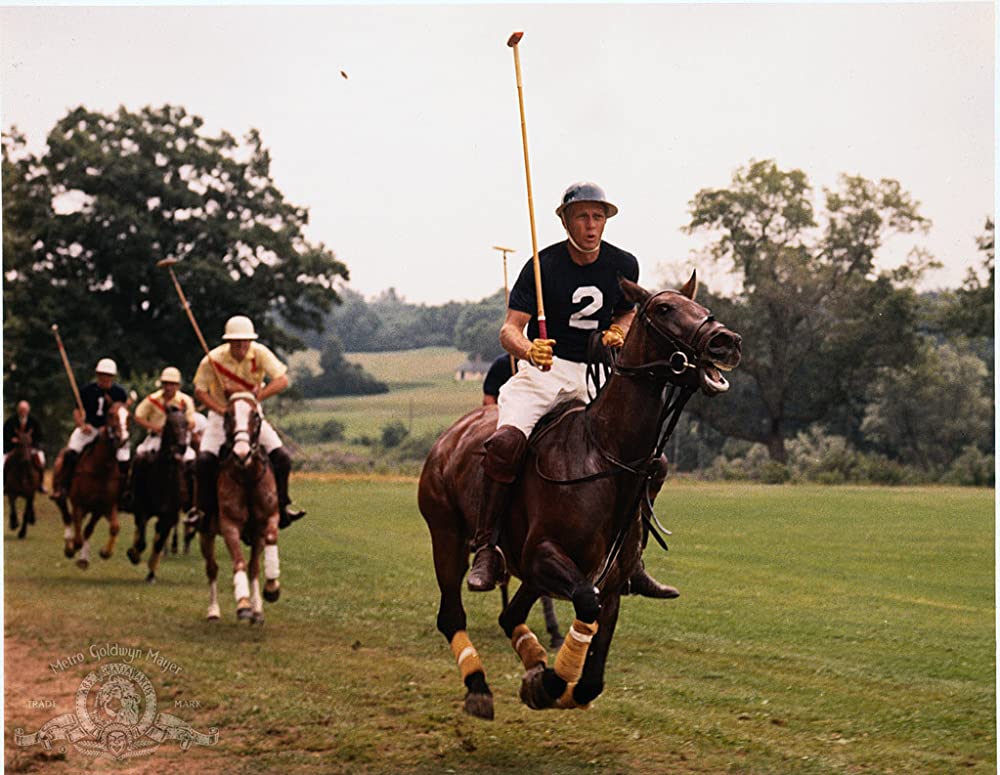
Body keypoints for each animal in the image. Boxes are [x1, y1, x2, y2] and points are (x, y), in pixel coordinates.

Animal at [55, 404, 131, 572]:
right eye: (111, 414)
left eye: (129, 416)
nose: (122, 439)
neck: (101, 468)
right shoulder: (78, 504)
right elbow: (78, 538)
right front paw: (72, 547)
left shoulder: (103, 507)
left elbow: (110, 527)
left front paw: (103, 553)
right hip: (60, 493)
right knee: (65, 514)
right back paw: (68, 544)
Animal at [127, 406, 189, 584]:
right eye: (170, 423)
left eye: (186, 423)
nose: (182, 446)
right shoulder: (142, 510)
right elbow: (142, 541)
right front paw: (133, 554)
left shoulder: (169, 515)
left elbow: (159, 542)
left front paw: (151, 573)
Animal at [198, 394, 280, 624]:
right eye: (227, 415)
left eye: (256, 416)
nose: (242, 454)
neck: (247, 477)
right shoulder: (230, 525)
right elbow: (239, 563)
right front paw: (243, 604)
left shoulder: (267, 520)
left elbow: (259, 559)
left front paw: (271, 590)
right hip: (205, 533)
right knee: (211, 568)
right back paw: (213, 611)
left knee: (252, 567)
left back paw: (258, 610)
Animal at [416, 276, 744, 720]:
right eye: (664, 310)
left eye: (703, 308)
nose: (726, 342)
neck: (605, 453)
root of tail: (450, 435)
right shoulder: (544, 554)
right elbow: (586, 604)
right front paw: (550, 682)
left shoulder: (610, 580)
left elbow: (593, 676)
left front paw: (547, 680)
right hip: (446, 534)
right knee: (452, 615)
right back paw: (479, 686)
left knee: (509, 615)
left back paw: (533, 657)